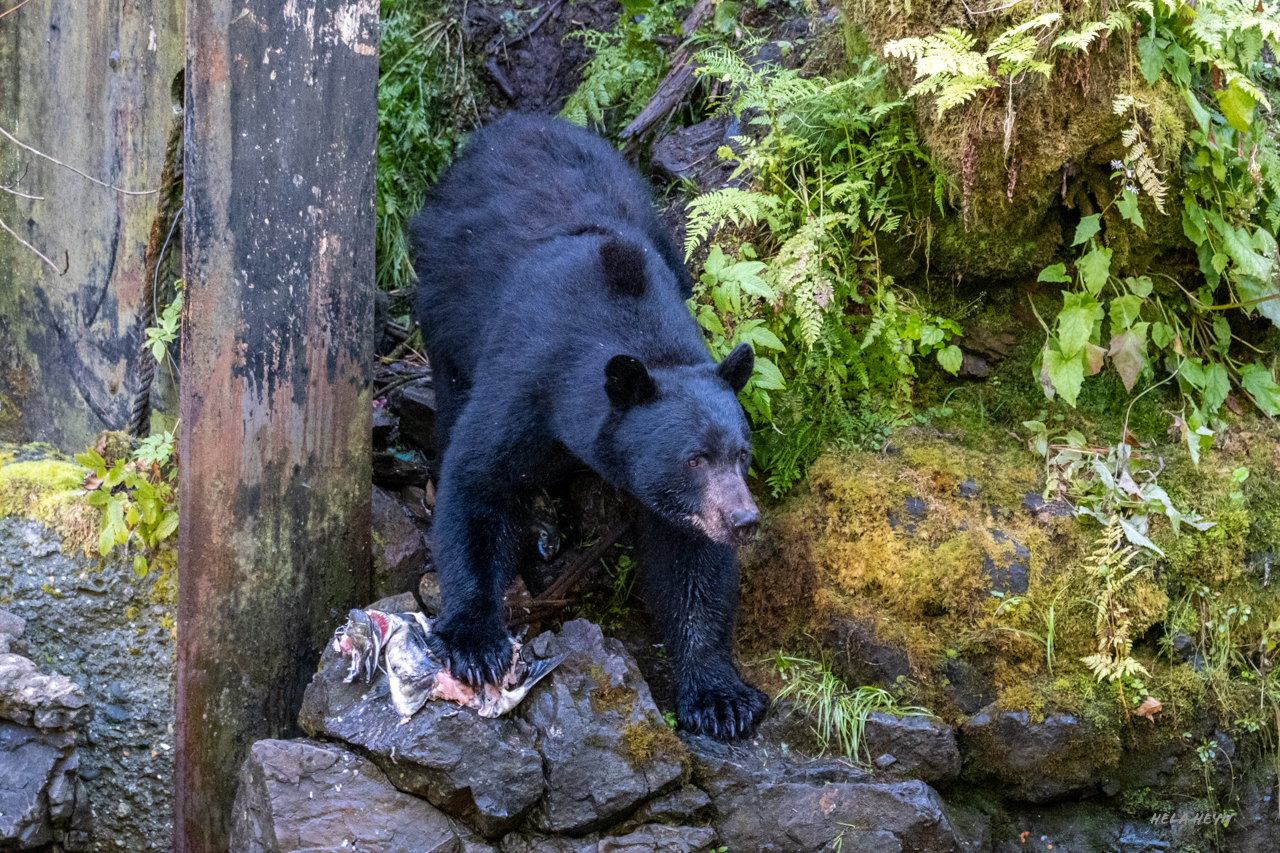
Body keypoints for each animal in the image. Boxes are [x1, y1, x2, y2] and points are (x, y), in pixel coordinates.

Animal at [409, 112, 762, 737]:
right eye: (693, 457)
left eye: (740, 454)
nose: (744, 519)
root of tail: (509, 124)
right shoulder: (528, 376)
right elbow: (478, 478)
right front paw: (476, 641)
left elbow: (690, 558)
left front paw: (720, 696)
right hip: (444, 296)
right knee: (451, 398)